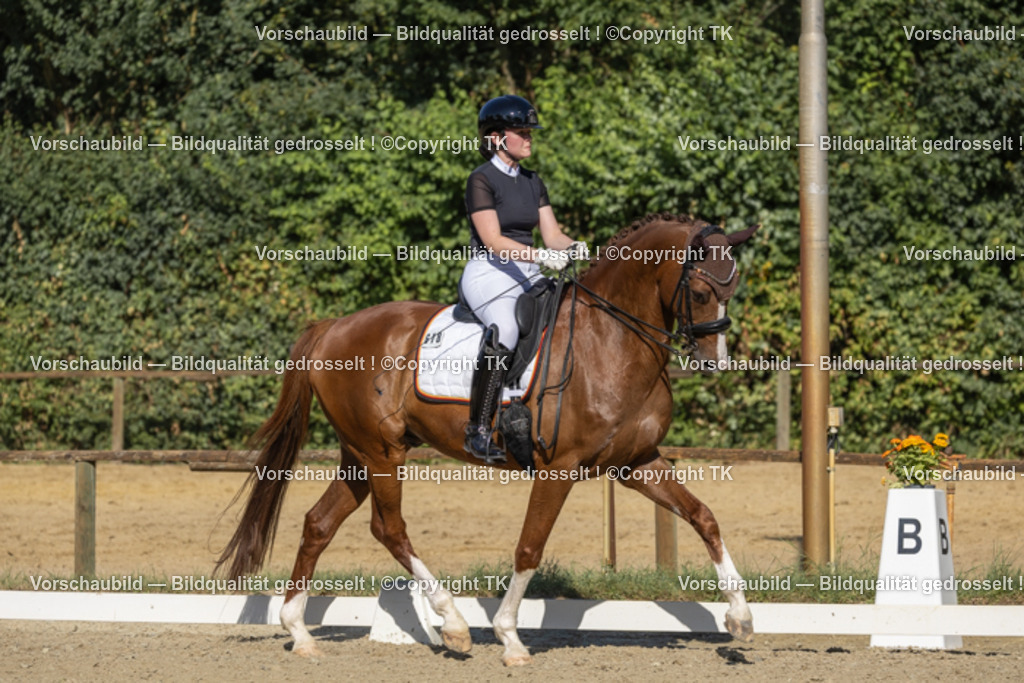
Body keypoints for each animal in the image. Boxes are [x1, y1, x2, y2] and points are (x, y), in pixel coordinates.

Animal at [216, 213, 758, 666]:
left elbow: (704, 517)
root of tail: (332, 328)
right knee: (388, 528)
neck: (612, 340)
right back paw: (453, 623)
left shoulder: (637, 463)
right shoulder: (560, 469)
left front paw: (739, 616)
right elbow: (529, 548)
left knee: (319, 524)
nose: (714, 363)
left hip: (360, 455)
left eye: (733, 289)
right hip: (383, 453)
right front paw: (510, 638)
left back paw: (299, 631)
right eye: (702, 291)